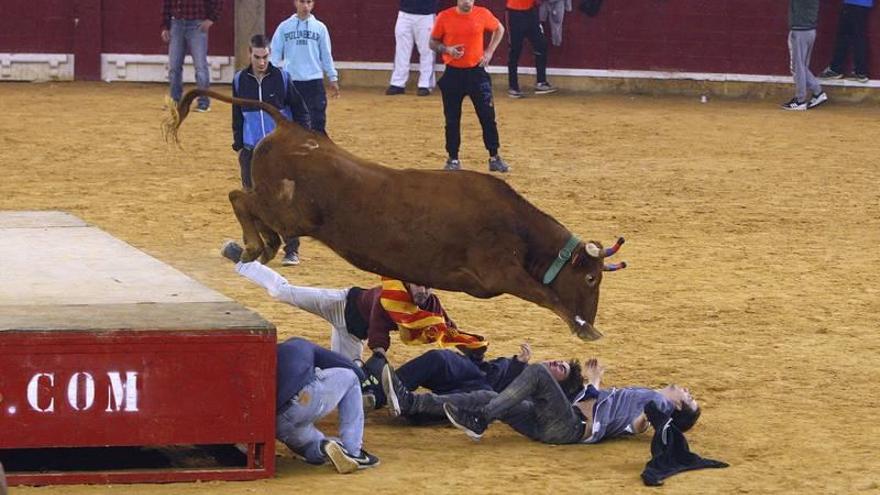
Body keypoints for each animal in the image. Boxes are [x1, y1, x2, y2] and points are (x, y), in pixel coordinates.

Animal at [165, 88, 624, 340]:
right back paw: (252, 245)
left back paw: (262, 246)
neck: (515, 224)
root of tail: (289, 127)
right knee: (239, 197)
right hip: (291, 211)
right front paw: (584, 327)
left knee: (249, 206)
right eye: (590, 278)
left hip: (287, 212)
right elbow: (546, 294)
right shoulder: (500, 273)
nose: (591, 316)